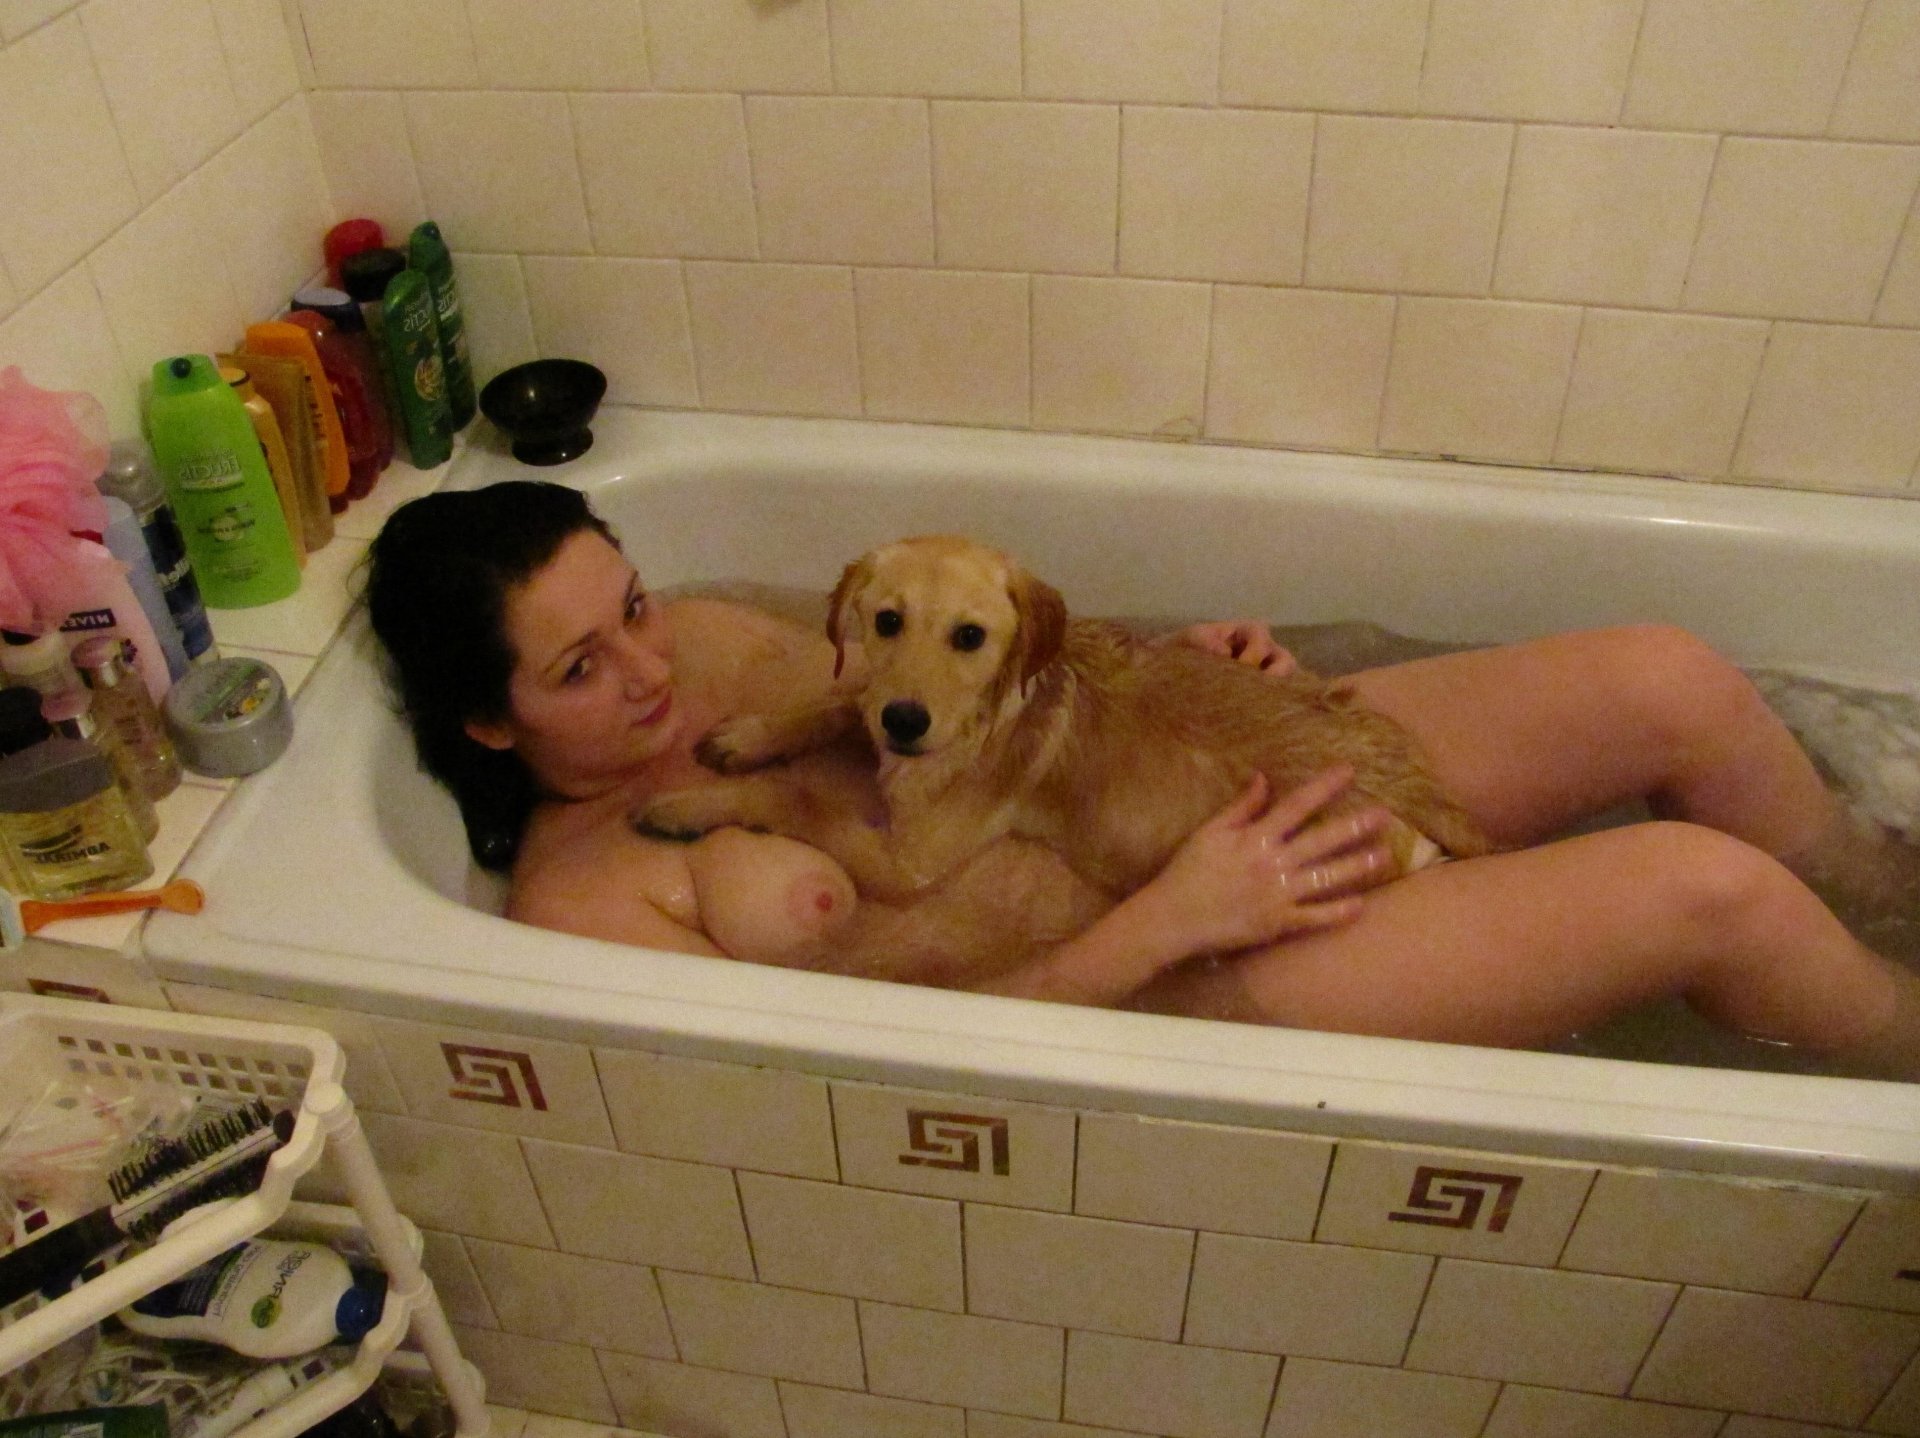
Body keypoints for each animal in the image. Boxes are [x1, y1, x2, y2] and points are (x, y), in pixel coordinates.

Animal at [637, 535, 1490, 902]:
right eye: (885, 622)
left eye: (970, 637)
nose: (907, 723)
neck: (985, 714)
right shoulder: (875, 703)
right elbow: (838, 700)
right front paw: (749, 735)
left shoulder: (905, 864)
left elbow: (795, 798)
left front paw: (686, 805)